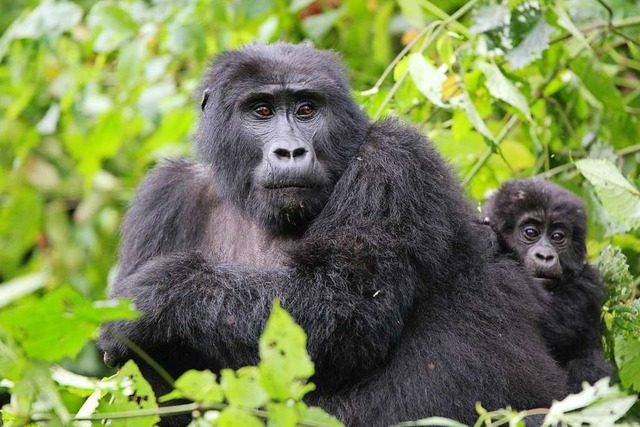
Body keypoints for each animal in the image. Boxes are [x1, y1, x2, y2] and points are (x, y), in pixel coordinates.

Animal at [102, 44, 568, 427]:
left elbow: (342, 308)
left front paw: (157, 296)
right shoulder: (164, 196)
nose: (290, 151)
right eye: (262, 111)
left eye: (307, 109)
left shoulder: (394, 159)